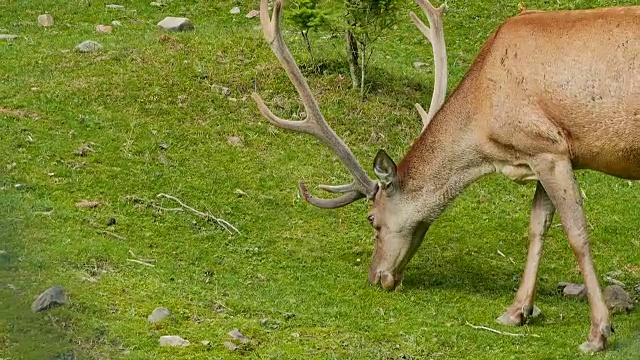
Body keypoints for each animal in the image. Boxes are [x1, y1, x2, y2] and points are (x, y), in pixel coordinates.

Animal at [251, 0, 640, 352]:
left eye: (372, 219)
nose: (376, 277)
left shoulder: (548, 148)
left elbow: (576, 233)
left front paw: (599, 332)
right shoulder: (544, 154)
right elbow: (537, 227)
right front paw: (516, 311)